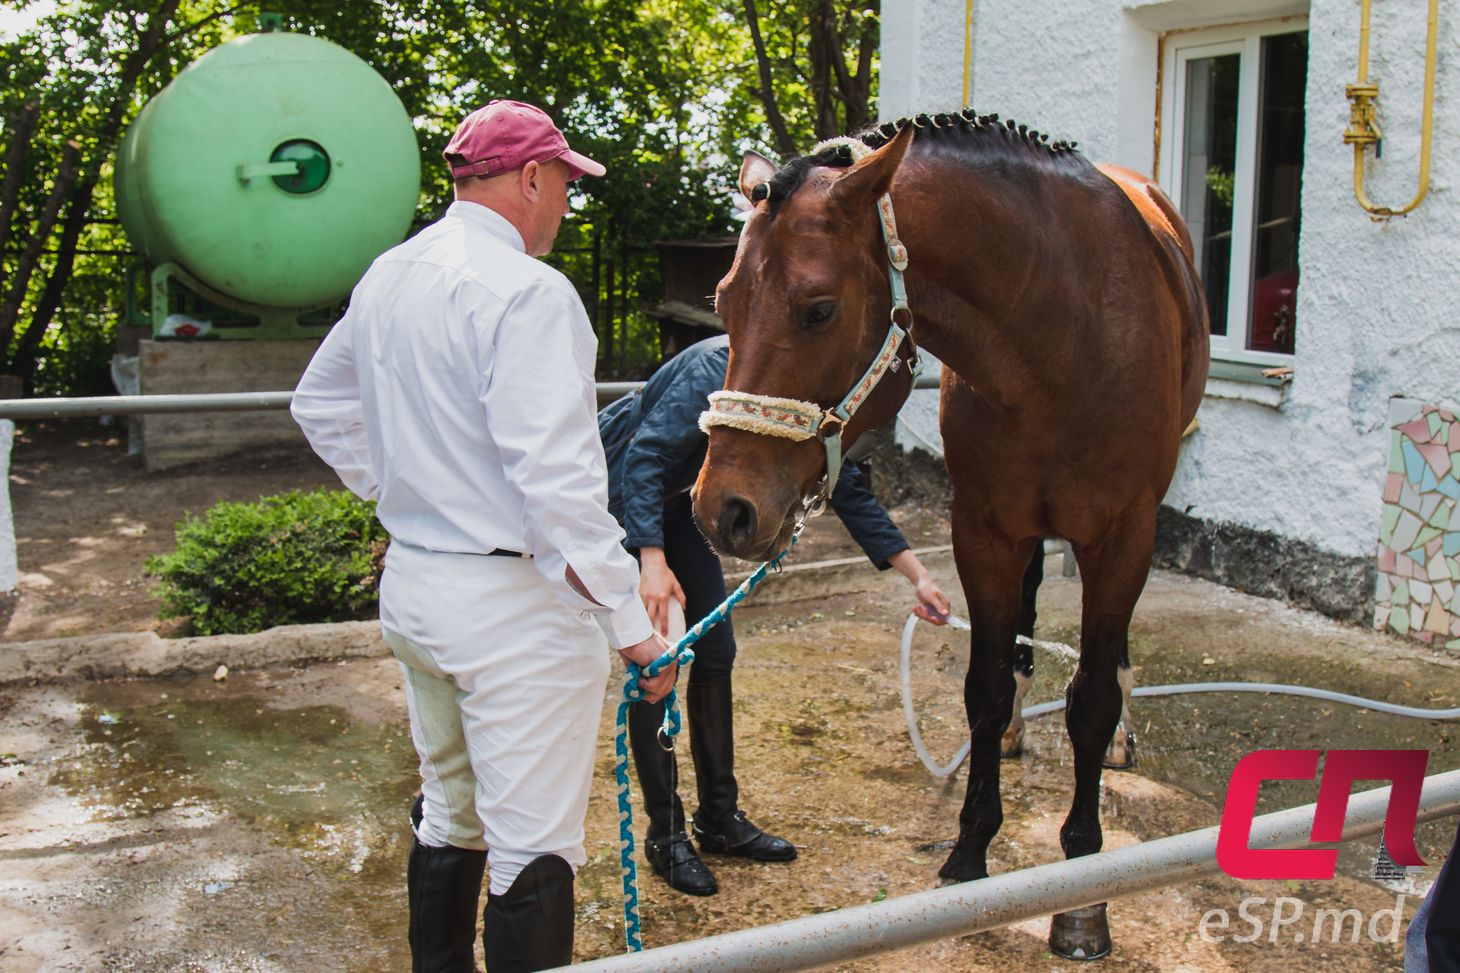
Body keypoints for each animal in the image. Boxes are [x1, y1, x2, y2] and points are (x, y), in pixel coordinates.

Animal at [694, 113, 1208, 952]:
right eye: (725, 299)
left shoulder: (1122, 535)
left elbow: (1091, 699)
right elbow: (986, 688)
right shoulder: (986, 529)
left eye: (818, 308)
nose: (723, 510)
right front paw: (970, 854)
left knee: (1109, 669)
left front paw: (1083, 889)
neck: (1061, 330)